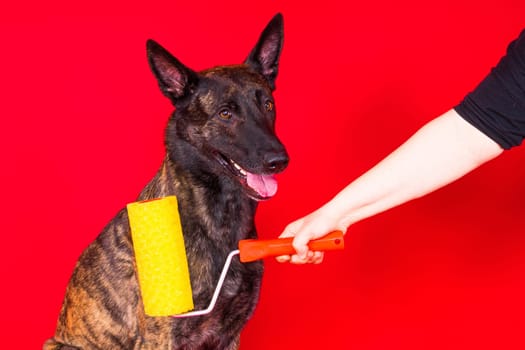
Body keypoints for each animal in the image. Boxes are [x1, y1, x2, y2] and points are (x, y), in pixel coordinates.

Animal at [44, 13, 290, 350]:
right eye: (225, 113)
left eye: (268, 105)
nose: (279, 160)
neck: (220, 220)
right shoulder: (162, 336)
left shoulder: (230, 334)